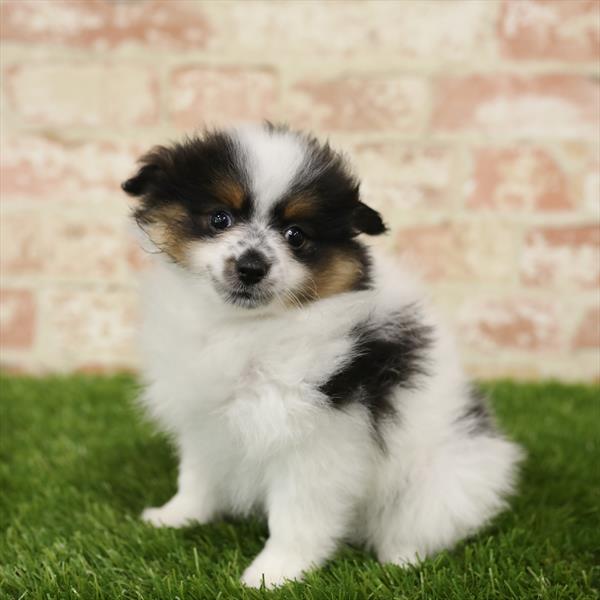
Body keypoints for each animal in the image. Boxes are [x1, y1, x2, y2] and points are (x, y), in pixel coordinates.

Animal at [124, 124, 524, 588]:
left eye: (297, 235)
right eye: (219, 218)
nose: (251, 267)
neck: (245, 327)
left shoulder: (320, 440)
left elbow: (297, 515)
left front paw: (274, 573)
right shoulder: (205, 419)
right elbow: (197, 475)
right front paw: (176, 516)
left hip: (445, 474)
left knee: (424, 521)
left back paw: (402, 560)